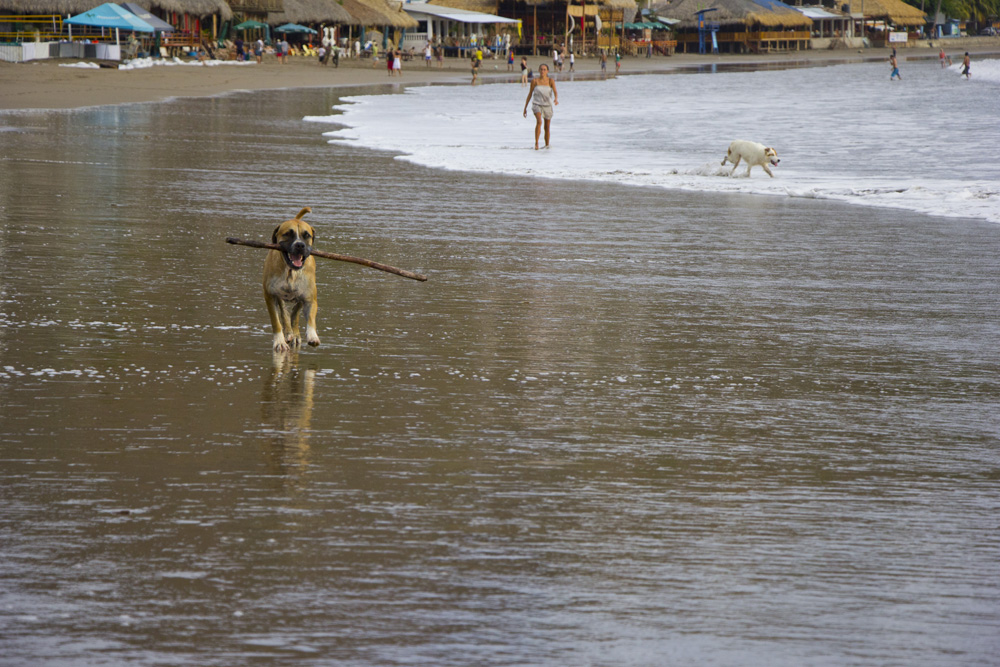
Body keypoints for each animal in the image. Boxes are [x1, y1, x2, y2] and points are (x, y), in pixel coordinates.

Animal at [262, 207, 320, 354]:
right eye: (288, 234)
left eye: (307, 235)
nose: (299, 245)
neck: (291, 271)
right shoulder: (269, 296)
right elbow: (276, 321)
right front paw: (279, 341)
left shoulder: (310, 298)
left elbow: (310, 319)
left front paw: (313, 336)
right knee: (284, 312)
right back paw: (288, 333)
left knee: (295, 311)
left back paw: (295, 333)